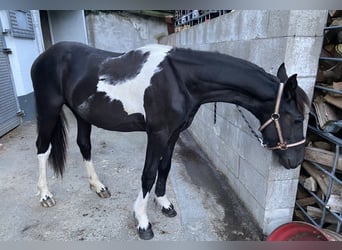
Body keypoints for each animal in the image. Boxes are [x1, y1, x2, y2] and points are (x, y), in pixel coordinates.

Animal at [31, 42, 310, 239]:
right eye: (297, 119)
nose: (295, 161)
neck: (179, 79)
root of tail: (43, 57)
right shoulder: (157, 134)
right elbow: (149, 173)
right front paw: (143, 221)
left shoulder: (174, 133)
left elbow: (164, 167)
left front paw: (164, 203)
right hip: (48, 109)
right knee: (42, 148)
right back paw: (45, 195)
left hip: (82, 114)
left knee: (84, 145)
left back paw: (98, 187)